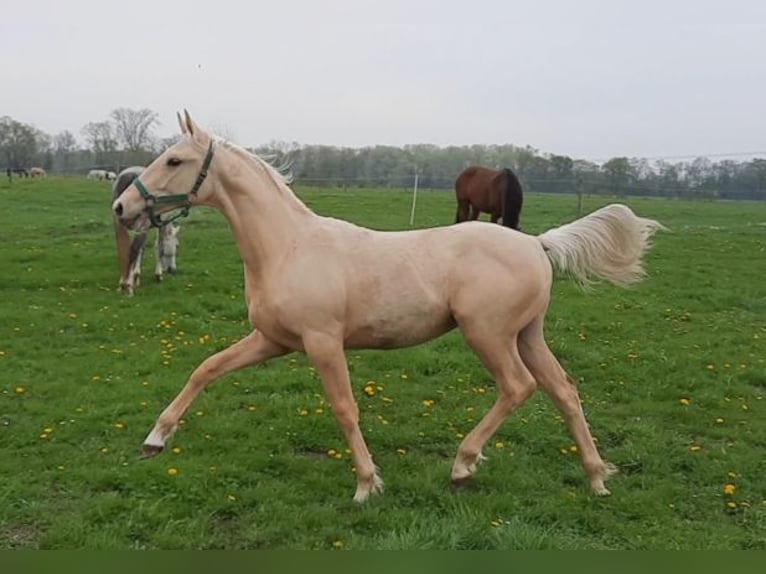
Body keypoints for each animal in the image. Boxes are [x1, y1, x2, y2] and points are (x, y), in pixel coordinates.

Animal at [112, 166, 180, 296]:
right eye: (177, 245)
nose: (172, 269)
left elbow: (142, 249)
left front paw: (136, 276)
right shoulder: (160, 224)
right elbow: (158, 247)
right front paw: (158, 274)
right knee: (133, 249)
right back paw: (127, 285)